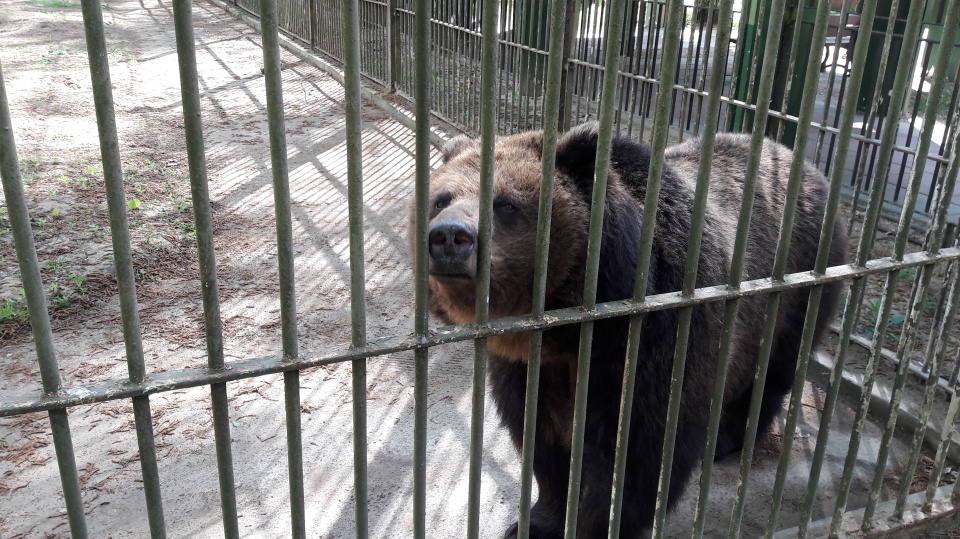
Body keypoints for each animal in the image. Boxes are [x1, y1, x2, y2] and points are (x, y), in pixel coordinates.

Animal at [408, 123, 844, 539]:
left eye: (506, 204)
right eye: (441, 199)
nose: (449, 237)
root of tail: (801, 161)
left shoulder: (656, 343)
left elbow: (639, 456)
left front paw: (596, 526)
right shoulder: (529, 368)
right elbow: (543, 442)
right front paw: (536, 521)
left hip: (795, 290)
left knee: (771, 372)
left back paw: (727, 437)